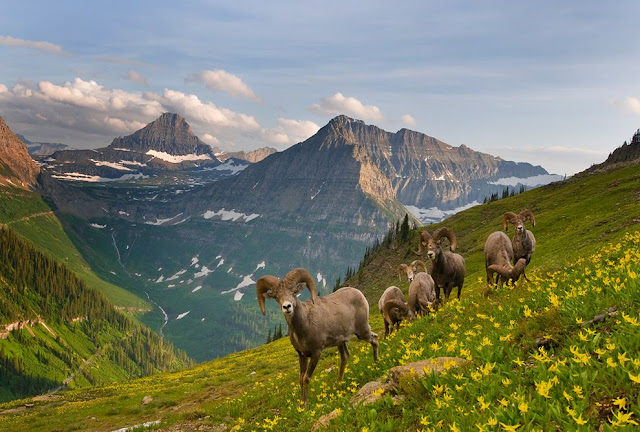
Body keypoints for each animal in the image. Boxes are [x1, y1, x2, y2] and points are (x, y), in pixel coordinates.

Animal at [256, 266, 378, 404]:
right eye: (276, 297)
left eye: (294, 292)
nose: (287, 306)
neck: (304, 326)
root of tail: (359, 293)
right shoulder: (302, 355)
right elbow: (300, 378)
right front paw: (301, 403)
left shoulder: (316, 353)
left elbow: (306, 378)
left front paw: (305, 404)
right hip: (341, 342)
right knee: (345, 357)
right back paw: (337, 384)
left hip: (362, 332)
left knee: (375, 339)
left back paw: (376, 364)